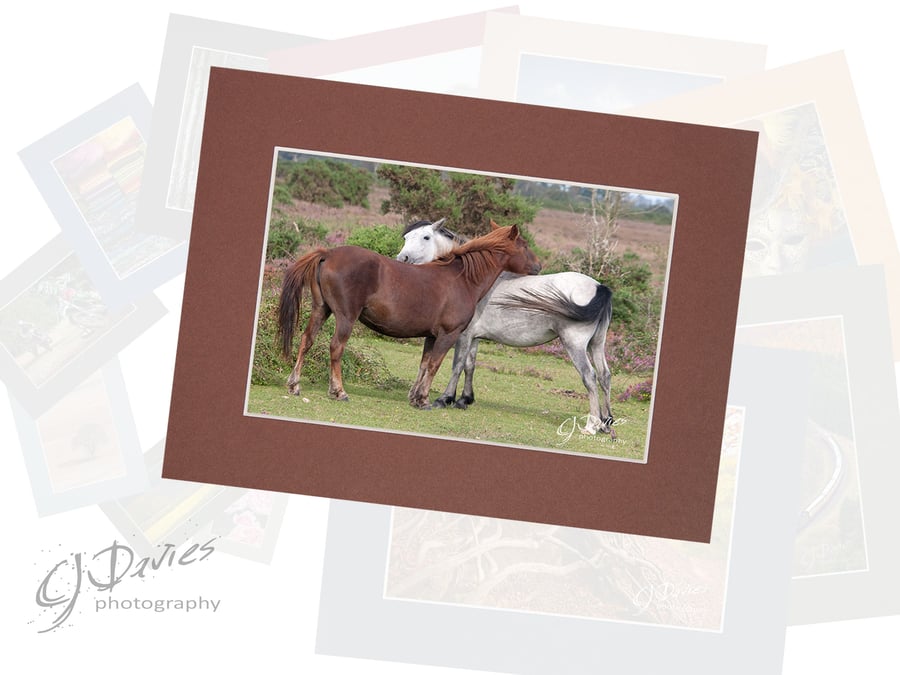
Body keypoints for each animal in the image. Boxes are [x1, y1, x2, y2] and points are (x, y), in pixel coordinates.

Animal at [278, 224, 542, 409]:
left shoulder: (431, 336)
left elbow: (424, 364)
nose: (539, 266)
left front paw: (415, 397)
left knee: (306, 341)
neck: (463, 279)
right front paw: (424, 400)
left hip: (321, 310)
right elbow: (436, 364)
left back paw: (294, 385)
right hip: (345, 317)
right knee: (336, 348)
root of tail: (328, 253)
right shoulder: (449, 335)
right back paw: (338, 391)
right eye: (524, 245)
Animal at [396, 220, 615, 435]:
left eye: (426, 237)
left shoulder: (462, 335)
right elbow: (469, 365)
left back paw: (591, 426)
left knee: (590, 376)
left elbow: (457, 364)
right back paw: (606, 423)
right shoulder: (475, 337)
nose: (401, 258)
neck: (472, 279)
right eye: (406, 237)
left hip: (575, 345)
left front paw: (445, 398)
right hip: (596, 344)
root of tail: (600, 288)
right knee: (604, 376)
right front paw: (465, 399)